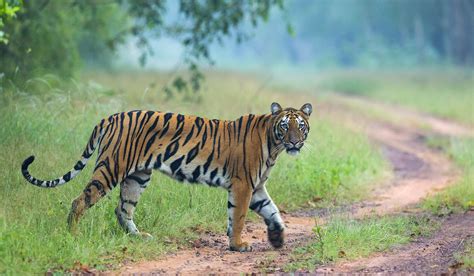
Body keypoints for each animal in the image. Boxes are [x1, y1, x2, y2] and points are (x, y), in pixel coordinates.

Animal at [21, 102, 312, 252]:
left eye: (301, 126)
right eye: (285, 126)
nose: (295, 142)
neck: (273, 144)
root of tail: (110, 117)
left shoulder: (256, 187)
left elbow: (272, 211)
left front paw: (277, 238)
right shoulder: (243, 185)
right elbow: (239, 217)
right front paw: (239, 244)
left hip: (137, 177)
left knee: (122, 209)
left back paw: (138, 237)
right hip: (111, 168)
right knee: (80, 201)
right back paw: (73, 235)